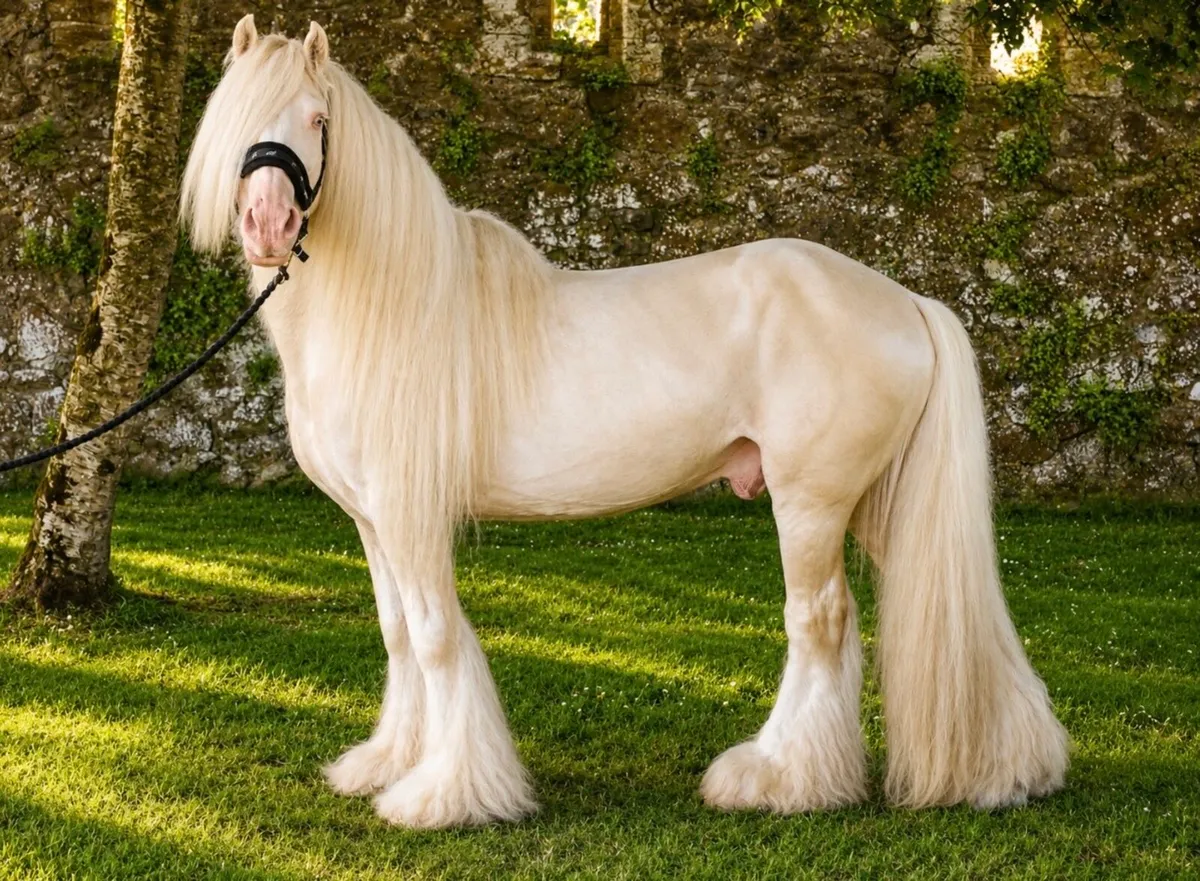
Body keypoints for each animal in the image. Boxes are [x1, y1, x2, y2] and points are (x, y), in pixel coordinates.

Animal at [180, 16, 1069, 829]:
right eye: (233, 114)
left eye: (316, 119)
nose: (267, 225)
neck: (389, 305)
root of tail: (907, 300)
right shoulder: (373, 519)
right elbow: (398, 634)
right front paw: (388, 763)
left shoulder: (410, 514)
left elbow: (434, 638)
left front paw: (444, 795)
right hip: (879, 502)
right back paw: (1008, 768)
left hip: (811, 501)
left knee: (818, 623)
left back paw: (780, 779)